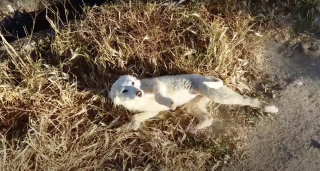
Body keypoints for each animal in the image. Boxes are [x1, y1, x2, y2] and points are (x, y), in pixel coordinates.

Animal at [107, 74, 278, 132]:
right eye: (124, 90)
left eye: (133, 83)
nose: (138, 92)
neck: (141, 99)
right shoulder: (151, 111)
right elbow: (135, 117)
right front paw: (131, 125)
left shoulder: (156, 84)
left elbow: (159, 96)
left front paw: (170, 103)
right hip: (193, 106)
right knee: (208, 118)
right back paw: (194, 129)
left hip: (219, 95)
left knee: (248, 100)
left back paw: (270, 108)